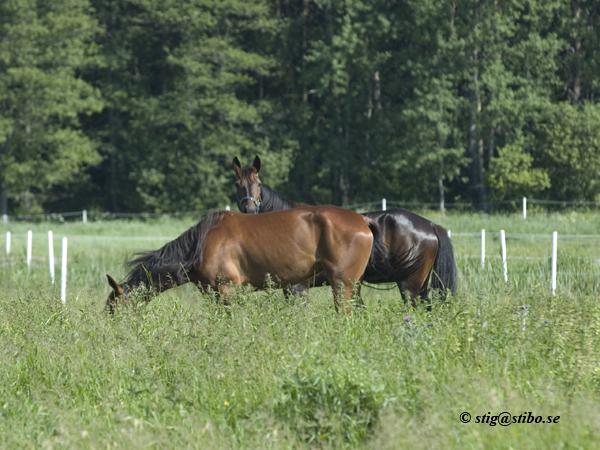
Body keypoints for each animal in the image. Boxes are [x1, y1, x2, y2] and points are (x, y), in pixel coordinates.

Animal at [105, 207, 392, 314]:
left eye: (114, 308)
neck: (201, 244)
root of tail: (362, 219)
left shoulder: (227, 290)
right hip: (352, 285)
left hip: (342, 285)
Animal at [232, 156, 458, 306]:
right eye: (237, 185)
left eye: (258, 184)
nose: (250, 210)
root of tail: (430, 225)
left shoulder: (298, 289)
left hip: (410, 285)